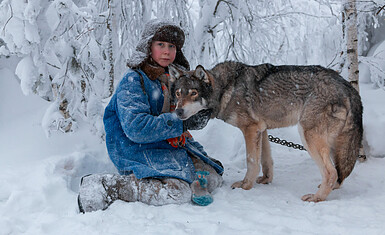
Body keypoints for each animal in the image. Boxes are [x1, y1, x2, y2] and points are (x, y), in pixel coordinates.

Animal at [169, 61, 364, 202]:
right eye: (178, 93)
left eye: (193, 93)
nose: (178, 112)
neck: (226, 89)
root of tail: (348, 86)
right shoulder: (261, 130)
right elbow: (265, 160)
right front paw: (265, 180)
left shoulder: (250, 129)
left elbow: (251, 161)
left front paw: (246, 186)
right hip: (332, 144)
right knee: (338, 173)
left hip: (308, 136)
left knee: (331, 173)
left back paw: (316, 198)